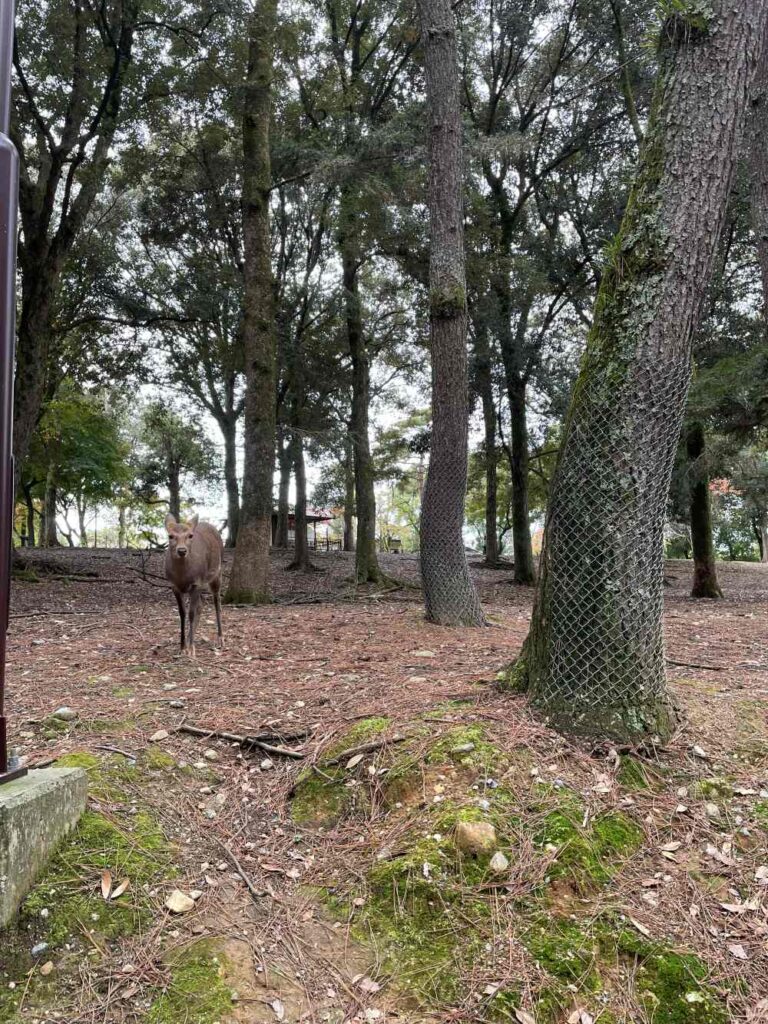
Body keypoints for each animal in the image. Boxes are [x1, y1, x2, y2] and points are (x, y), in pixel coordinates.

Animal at [164, 513, 224, 657]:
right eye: (170, 536)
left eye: (190, 535)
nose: (182, 550)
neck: (182, 576)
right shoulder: (174, 586)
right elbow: (182, 613)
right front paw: (182, 647)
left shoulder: (197, 583)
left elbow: (191, 613)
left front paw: (191, 649)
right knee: (201, 605)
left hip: (217, 572)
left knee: (217, 602)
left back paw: (220, 639)